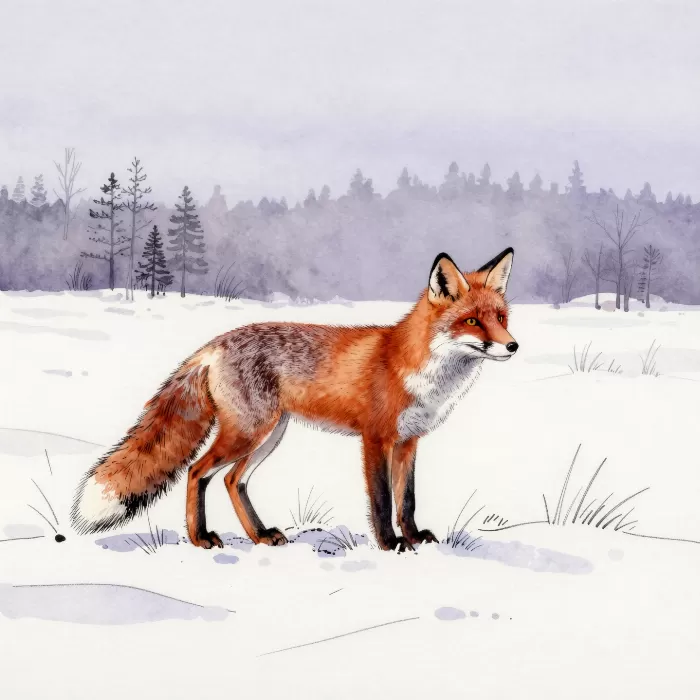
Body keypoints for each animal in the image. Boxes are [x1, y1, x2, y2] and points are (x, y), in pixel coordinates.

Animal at [71, 248, 518, 551]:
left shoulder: (408, 441)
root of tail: (213, 345)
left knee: (233, 480)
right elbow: (381, 500)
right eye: (472, 321)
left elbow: (406, 499)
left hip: (269, 435)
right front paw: (390, 544)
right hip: (249, 433)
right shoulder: (375, 439)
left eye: (500, 318)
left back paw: (260, 535)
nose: (513, 346)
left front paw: (414, 537)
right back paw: (200, 538)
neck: (418, 369)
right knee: (198, 472)